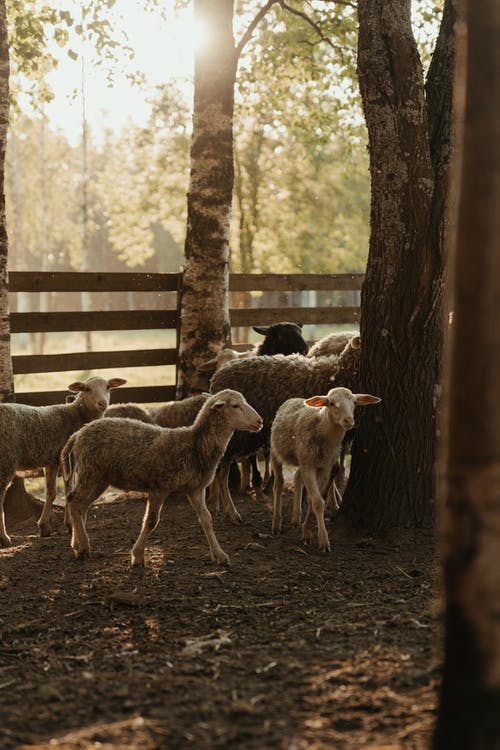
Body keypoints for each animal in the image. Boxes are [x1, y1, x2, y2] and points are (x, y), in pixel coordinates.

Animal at [0, 376, 127, 548]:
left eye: (108, 387)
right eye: (87, 389)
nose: (102, 403)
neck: (75, 415)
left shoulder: (52, 461)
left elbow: (51, 493)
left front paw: (44, 527)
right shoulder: (68, 459)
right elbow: (67, 490)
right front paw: (69, 525)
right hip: (7, 458)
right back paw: (5, 538)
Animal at [61, 388, 264, 568]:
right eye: (236, 406)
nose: (260, 421)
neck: (195, 445)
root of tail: (78, 433)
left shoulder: (195, 489)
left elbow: (206, 519)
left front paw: (220, 555)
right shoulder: (159, 488)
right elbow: (151, 521)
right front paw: (137, 556)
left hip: (100, 478)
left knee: (81, 506)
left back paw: (77, 543)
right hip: (89, 472)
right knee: (73, 501)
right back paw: (83, 547)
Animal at [209, 340, 362, 524]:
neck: (337, 374)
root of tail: (218, 375)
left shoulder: (336, 441)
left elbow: (334, 470)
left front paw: (333, 502)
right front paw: (331, 505)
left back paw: (216, 506)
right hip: (237, 436)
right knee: (221, 472)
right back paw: (231, 512)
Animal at [272, 388, 380, 552]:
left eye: (355, 402)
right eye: (331, 403)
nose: (349, 421)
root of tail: (292, 399)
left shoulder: (324, 467)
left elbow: (314, 501)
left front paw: (307, 532)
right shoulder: (309, 466)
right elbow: (318, 502)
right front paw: (323, 540)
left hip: (302, 458)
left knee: (297, 476)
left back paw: (296, 517)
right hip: (275, 451)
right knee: (278, 484)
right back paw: (276, 524)